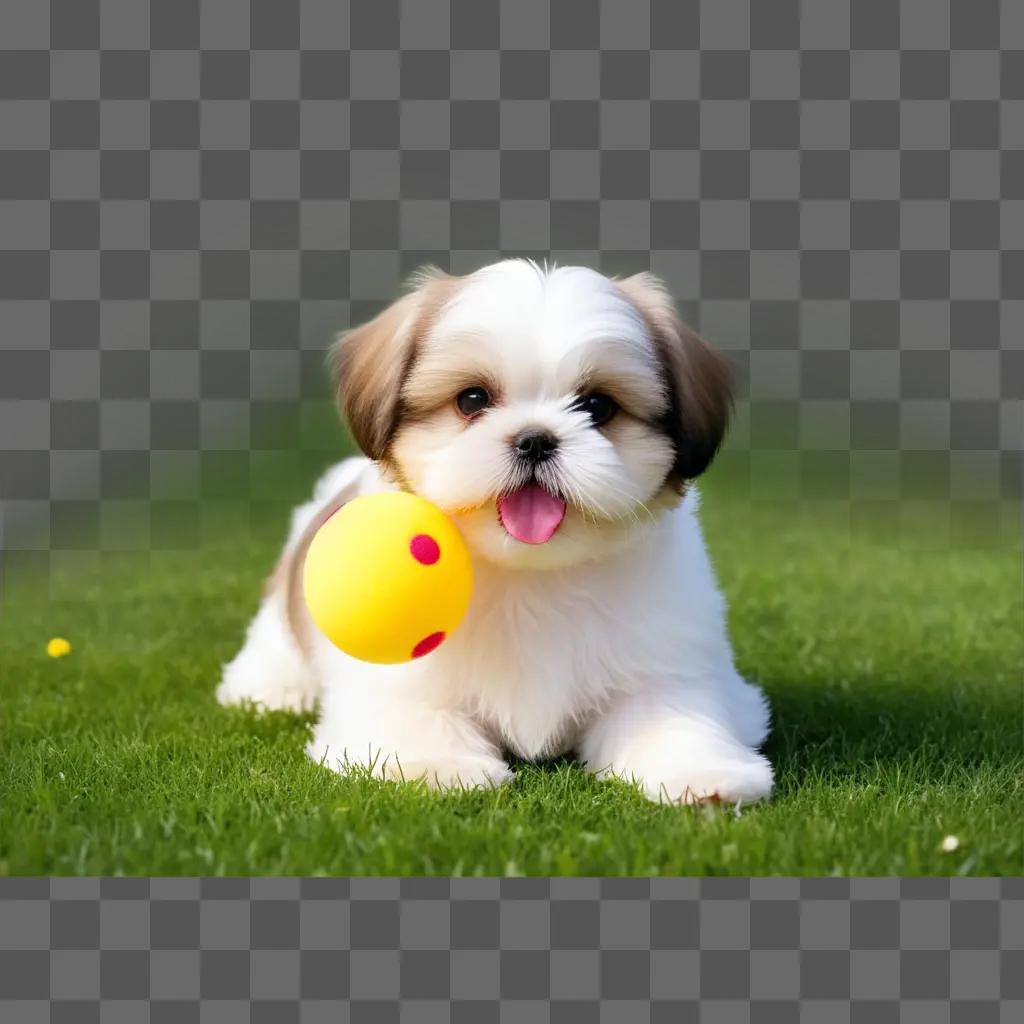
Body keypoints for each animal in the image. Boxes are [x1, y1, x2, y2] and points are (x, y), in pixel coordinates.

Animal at [218, 260, 774, 802]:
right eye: (472, 399)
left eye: (597, 407)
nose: (535, 439)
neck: (530, 575)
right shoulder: (399, 679)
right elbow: (415, 715)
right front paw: (435, 766)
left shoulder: (664, 661)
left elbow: (672, 715)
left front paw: (702, 772)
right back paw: (273, 690)